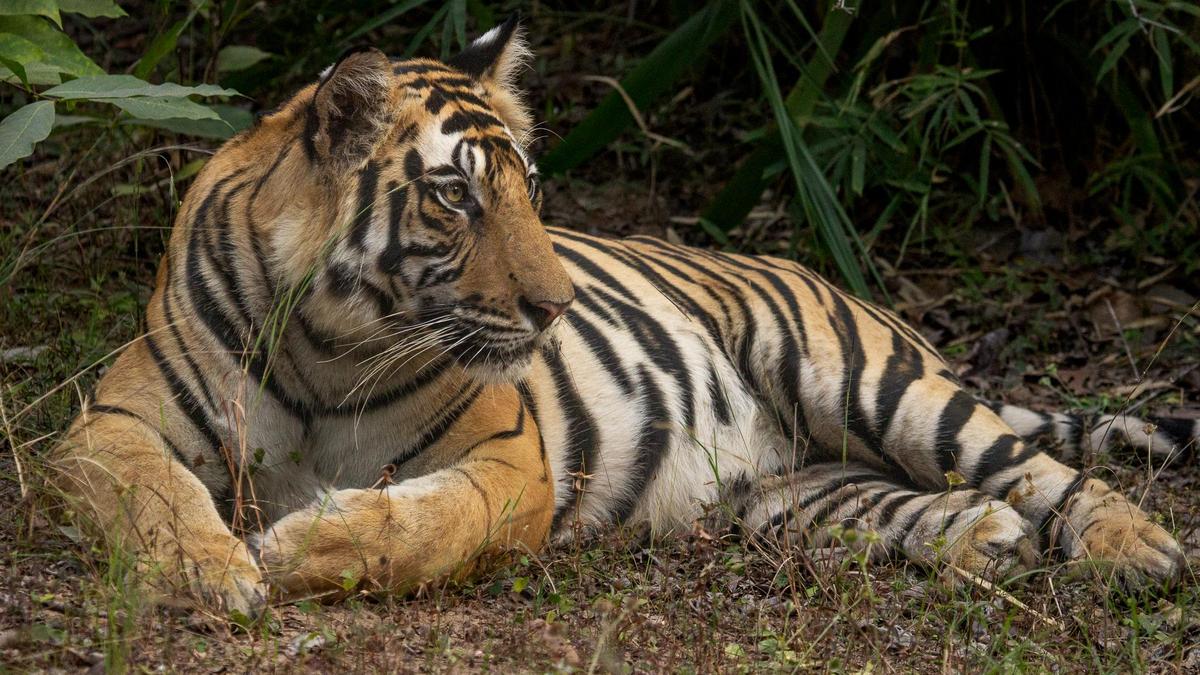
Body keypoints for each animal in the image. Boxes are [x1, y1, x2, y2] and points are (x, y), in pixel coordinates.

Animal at [51, 18, 1196, 617]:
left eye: (530, 188)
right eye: (455, 197)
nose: (554, 304)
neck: (327, 342)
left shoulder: (511, 458)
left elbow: (430, 523)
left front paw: (298, 549)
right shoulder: (109, 424)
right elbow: (153, 497)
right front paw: (208, 571)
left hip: (873, 381)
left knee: (1044, 469)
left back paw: (1139, 549)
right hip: (796, 493)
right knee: (929, 501)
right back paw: (982, 539)